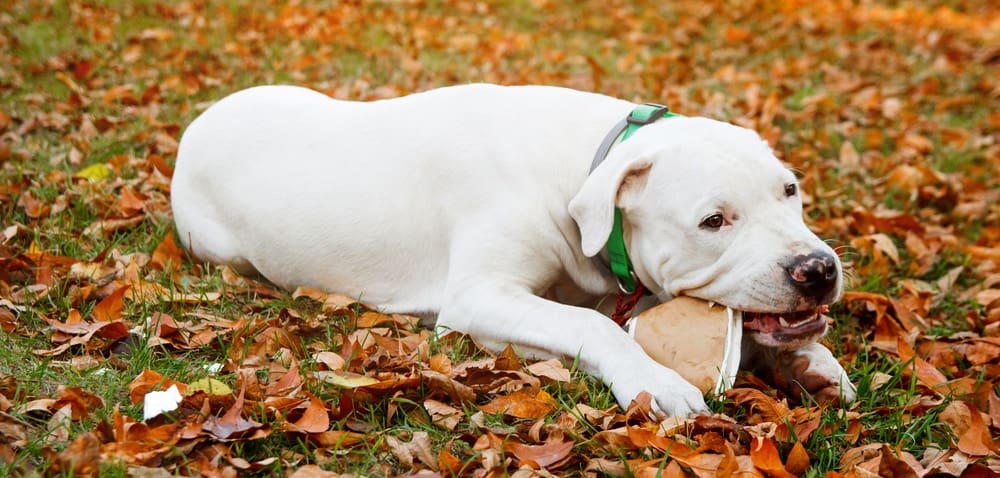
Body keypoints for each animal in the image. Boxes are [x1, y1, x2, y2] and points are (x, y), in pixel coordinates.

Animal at [170, 84, 852, 416]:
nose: (818, 270)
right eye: (714, 221)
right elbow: (590, 326)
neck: (587, 161)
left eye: (789, 190)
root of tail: (200, 121)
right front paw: (654, 380)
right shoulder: (480, 300)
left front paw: (811, 362)